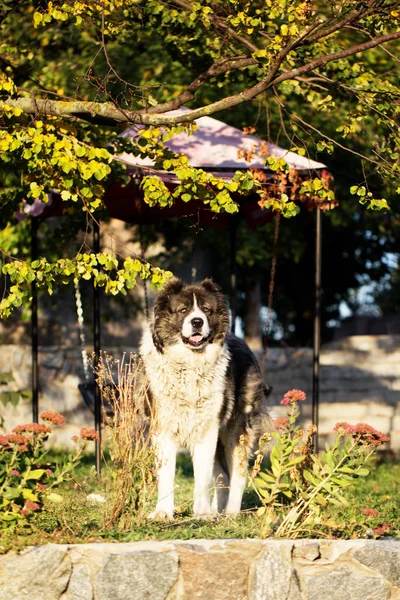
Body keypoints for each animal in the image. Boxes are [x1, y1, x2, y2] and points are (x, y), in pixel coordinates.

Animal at [138, 278, 272, 516]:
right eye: (183, 310)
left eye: (207, 310)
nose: (197, 322)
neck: (189, 365)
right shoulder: (162, 428)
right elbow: (166, 476)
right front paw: (163, 512)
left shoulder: (206, 430)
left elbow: (202, 477)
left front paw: (202, 513)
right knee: (223, 476)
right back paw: (218, 512)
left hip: (235, 431)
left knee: (237, 474)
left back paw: (230, 513)